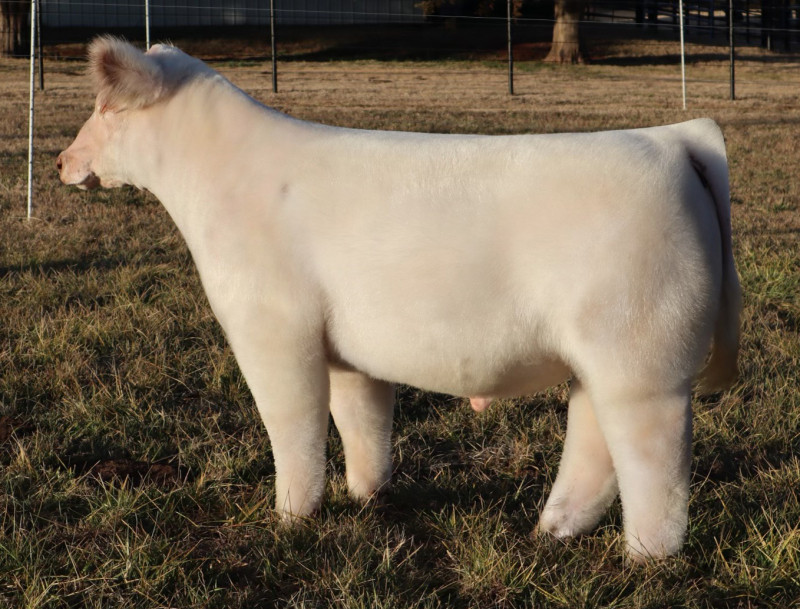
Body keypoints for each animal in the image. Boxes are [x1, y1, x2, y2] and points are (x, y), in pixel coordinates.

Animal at [58, 36, 741, 561]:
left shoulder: (270, 329)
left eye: (105, 107)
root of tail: (674, 138)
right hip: (600, 360)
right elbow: (359, 417)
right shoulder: (344, 348)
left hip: (642, 354)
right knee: (594, 440)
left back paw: (644, 558)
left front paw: (290, 518)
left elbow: (293, 421)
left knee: (654, 456)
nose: (62, 161)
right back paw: (549, 531)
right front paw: (367, 497)